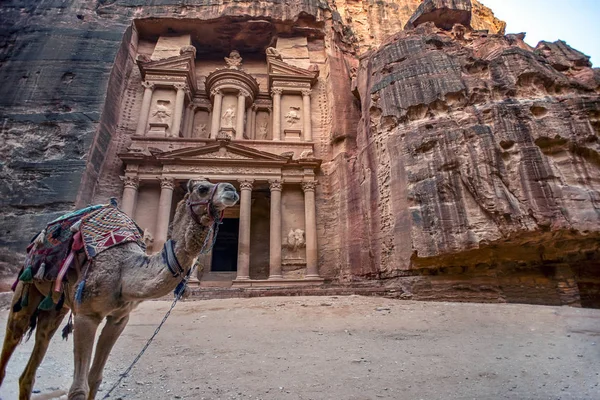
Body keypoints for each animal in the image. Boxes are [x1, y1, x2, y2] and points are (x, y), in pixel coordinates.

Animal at [0, 179, 239, 400]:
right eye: (202, 188)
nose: (232, 190)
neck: (125, 269)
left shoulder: (119, 318)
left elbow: (95, 379)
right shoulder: (86, 316)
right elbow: (78, 389)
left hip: (57, 306)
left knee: (31, 367)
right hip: (27, 292)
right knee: (12, 342)